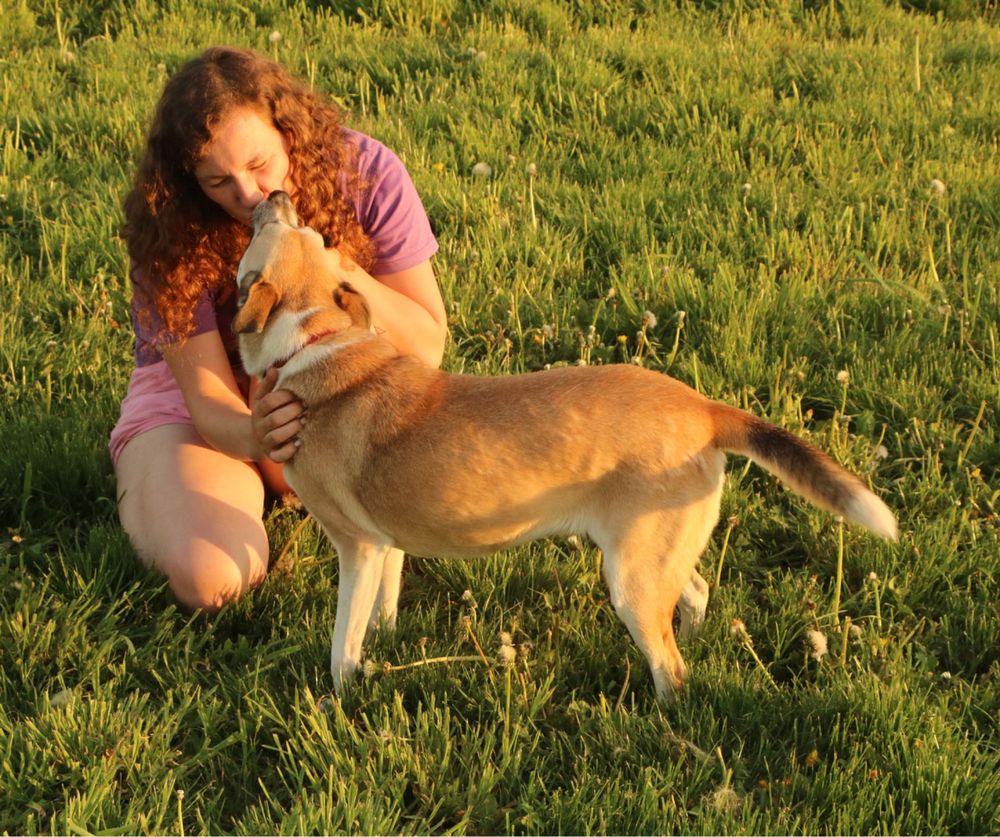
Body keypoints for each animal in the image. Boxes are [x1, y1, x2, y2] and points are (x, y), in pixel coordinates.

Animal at [234, 191, 900, 700]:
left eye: (288, 228)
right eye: (311, 232)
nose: (276, 196)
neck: (314, 339)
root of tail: (702, 408)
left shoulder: (359, 546)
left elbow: (343, 643)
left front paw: (344, 697)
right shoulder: (387, 545)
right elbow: (386, 607)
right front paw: (388, 643)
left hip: (630, 578)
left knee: (672, 668)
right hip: (655, 554)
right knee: (696, 593)